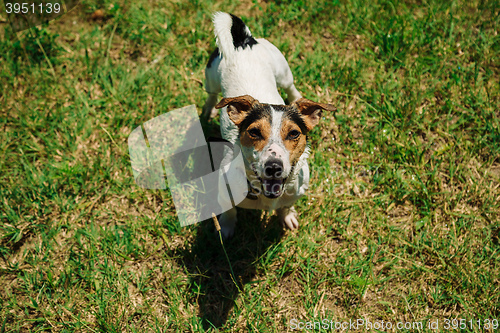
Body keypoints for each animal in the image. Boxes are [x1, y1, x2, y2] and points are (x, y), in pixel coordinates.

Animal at [201, 12, 334, 236]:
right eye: (254, 132)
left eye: (294, 133)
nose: (274, 167)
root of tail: (242, 41)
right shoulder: (224, 191)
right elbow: (229, 212)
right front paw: (226, 228)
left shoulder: (296, 192)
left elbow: (286, 206)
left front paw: (287, 216)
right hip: (210, 78)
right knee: (211, 95)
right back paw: (207, 110)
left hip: (283, 71)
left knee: (291, 87)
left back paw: (297, 98)